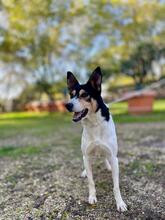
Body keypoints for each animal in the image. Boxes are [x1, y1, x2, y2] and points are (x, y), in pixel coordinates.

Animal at [65, 66, 127, 211]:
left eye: (84, 95)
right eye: (71, 95)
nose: (67, 105)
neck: (94, 123)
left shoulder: (112, 155)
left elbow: (116, 186)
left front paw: (120, 203)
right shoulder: (87, 155)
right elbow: (91, 181)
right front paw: (92, 197)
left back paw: (108, 166)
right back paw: (85, 172)